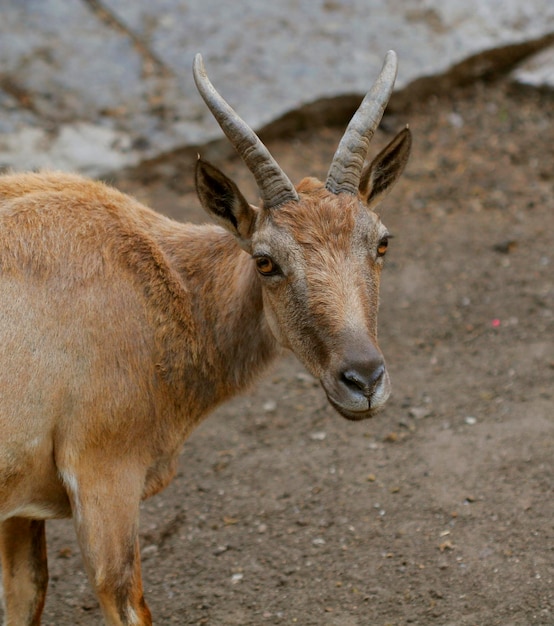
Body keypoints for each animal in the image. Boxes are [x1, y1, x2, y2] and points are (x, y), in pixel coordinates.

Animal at [0, 51, 410, 620]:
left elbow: (26, 592)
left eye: (382, 241)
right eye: (265, 260)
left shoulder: (21, 508)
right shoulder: (104, 472)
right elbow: (123, 596)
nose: (364, 380)